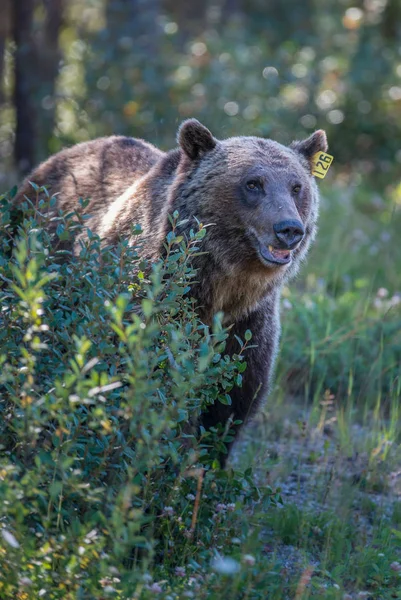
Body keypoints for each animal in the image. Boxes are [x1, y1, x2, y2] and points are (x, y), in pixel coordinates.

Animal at [14, 119, 328, 452]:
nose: (289, 229)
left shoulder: (248, 327)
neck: (221, 285)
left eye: (297, 187)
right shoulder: (148, 304)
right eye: (253, 183)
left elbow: (230, 408)